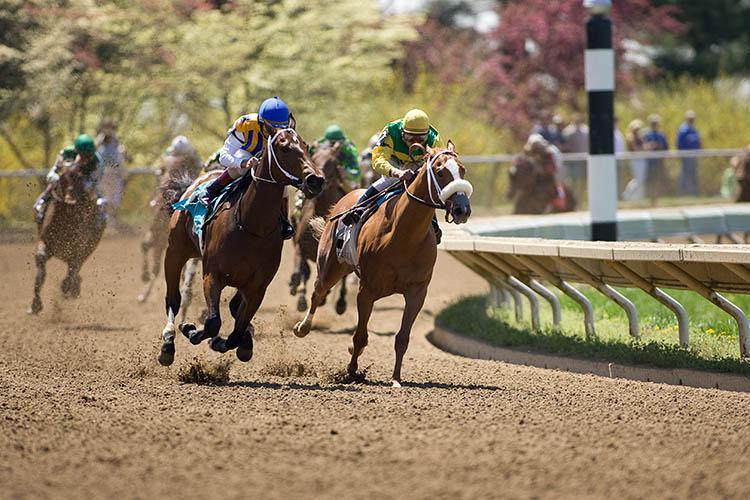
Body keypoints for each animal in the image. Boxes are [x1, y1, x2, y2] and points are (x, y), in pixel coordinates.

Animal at [28, 162, 106, 314]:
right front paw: (35, 304)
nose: (70, 199)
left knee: (76, 267)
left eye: (80, 178)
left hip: (91, 245)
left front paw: (67, 287)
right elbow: (41, 263)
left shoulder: (80, 246)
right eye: (62, 177)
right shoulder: (45, 241)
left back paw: (71, 287)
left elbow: (73, 267)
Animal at [157, 129, 324, 368]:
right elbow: (213, 322)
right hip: (175, 252)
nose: (316, 180)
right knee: (173, 299)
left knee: (235, 308)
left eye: (306, 146)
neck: (252, 227)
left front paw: (225, 342)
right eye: (283, 147)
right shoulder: (212, 275)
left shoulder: (257, 287)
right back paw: (168, 343)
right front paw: (191, 330)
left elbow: (235, 331)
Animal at [290, 141, 352, 312]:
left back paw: (340, 302)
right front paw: (301, 299)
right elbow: (302, 271)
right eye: (314, 159)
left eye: (333, 161)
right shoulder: (301, 245)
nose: (318, 179)